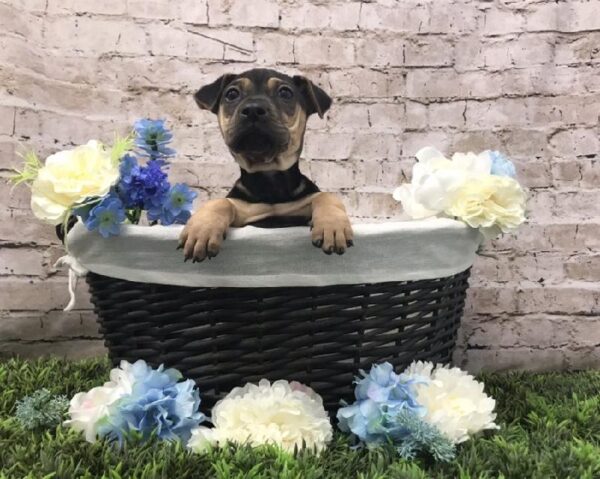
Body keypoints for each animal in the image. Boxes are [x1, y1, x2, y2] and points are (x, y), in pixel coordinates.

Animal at [180, 68, 354, 262]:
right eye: (232, 94)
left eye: (285, 93)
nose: (253, 110)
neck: (269, 174)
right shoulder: (244, 211)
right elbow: (220, 202)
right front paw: (202, 229)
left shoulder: (298, 210)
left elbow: (325, 196)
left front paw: (332, 226)